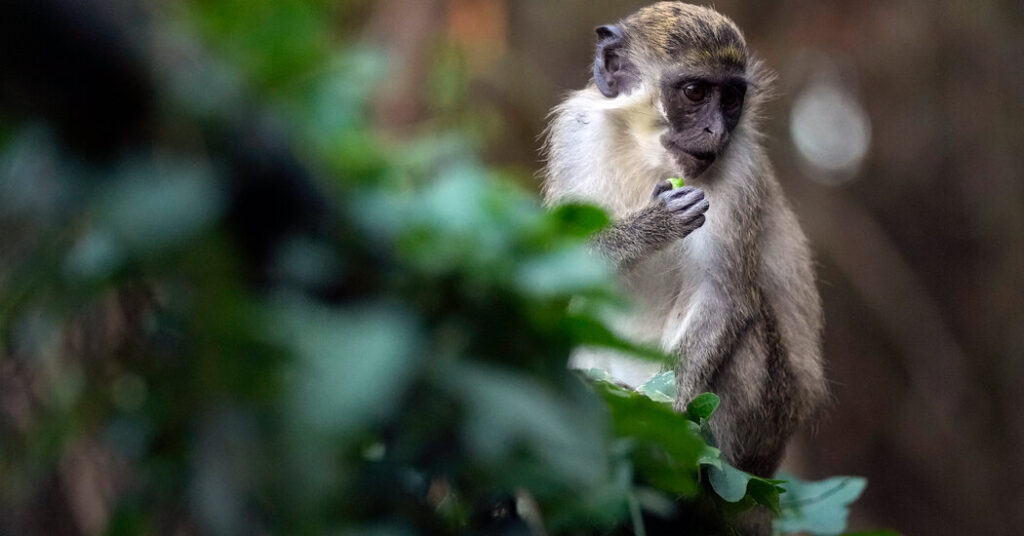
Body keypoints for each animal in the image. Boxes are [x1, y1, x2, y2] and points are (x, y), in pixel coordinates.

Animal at [542, 2, 828, 484]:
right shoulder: (575, 136)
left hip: (760, 427)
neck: (648, 154)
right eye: (695, 92)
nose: (715, 131)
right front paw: (651, 225)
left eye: (730, 99)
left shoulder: (740, 170)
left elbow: (723, 299)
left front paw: (658, 426)